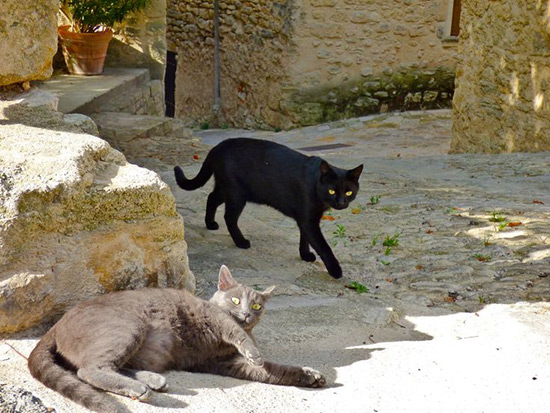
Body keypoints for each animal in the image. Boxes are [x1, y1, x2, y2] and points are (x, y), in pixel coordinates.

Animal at [28, 266, 326, 410]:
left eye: (256, 306)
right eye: (235, 300)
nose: (245, 314)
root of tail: (55, 326)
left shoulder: (224, 363)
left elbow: (273, 371)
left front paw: (310, 376)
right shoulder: (218, 319)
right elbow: (238, 333)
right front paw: (253, 350)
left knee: (110, 365)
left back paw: (152, 381)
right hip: (127, 326)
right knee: (88, 370)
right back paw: (140, 389)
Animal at [175, 137, 364, 278]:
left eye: (348, 192)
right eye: (332, 190)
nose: (341, 202)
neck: (317, 188)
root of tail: (217, 146)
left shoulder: (306, 220)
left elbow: (304, 238)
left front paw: (305, 255)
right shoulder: (308, 220)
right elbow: (323, 247)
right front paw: (335, 270)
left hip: (225, 189)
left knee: (211, 198)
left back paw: (210, 224)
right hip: (236, 194)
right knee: (229, 217)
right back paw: (241, 242)